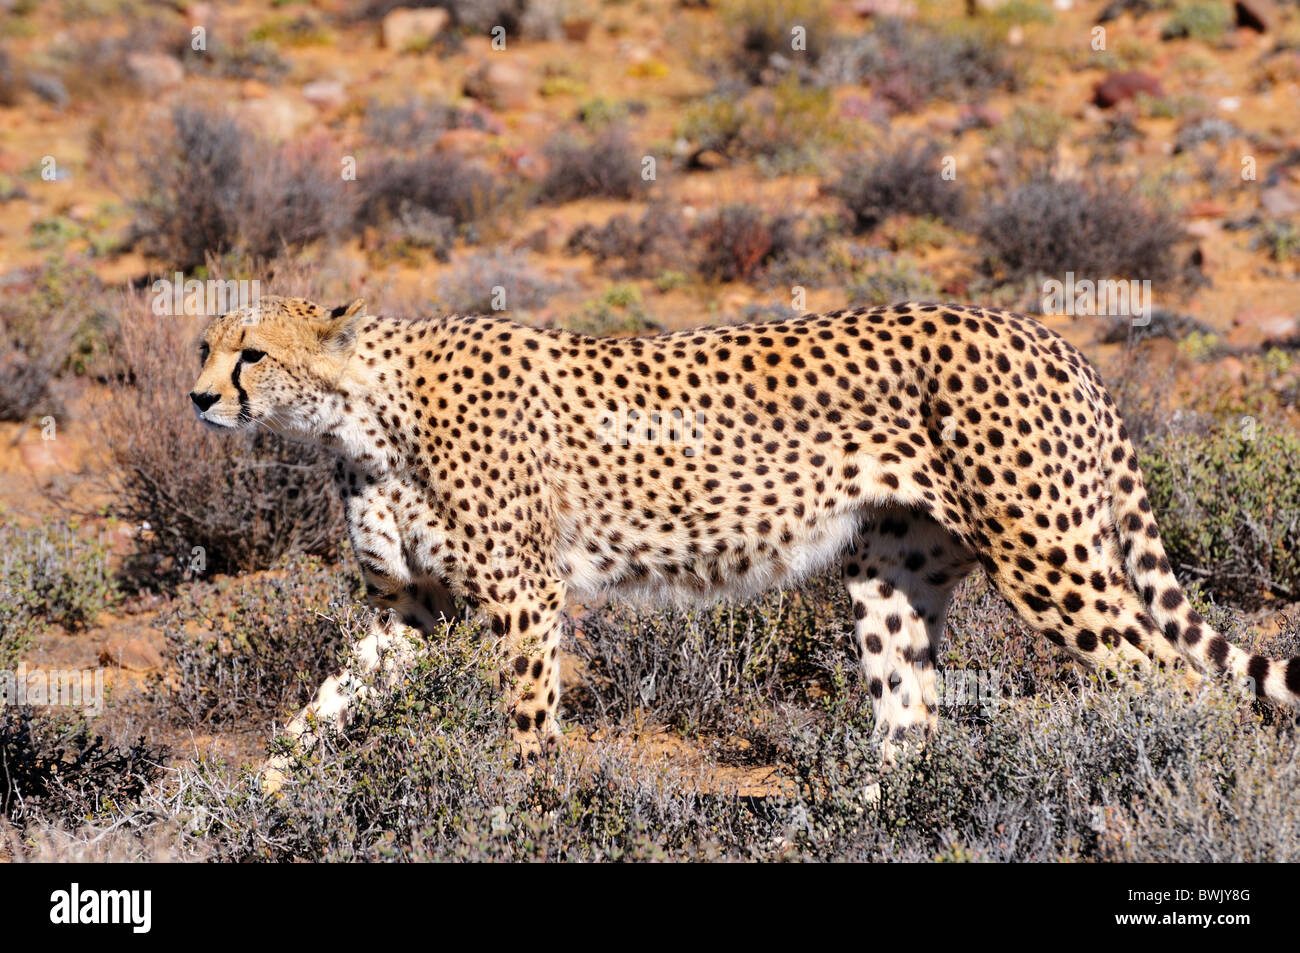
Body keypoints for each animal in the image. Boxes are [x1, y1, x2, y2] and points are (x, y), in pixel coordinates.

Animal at [188, 295, 1300, 780]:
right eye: (203, 343)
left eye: (252, 352)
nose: (199, 397)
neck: (355, 412)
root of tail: (1048, 333)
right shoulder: (412, 611)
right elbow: (322, 704)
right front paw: (261, 791)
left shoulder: (525, 596)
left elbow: (527, 727)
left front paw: (520, 812)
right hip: (891, 574)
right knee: (910, 714)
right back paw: (869, 822)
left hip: (1047, 555)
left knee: (1174, 681)